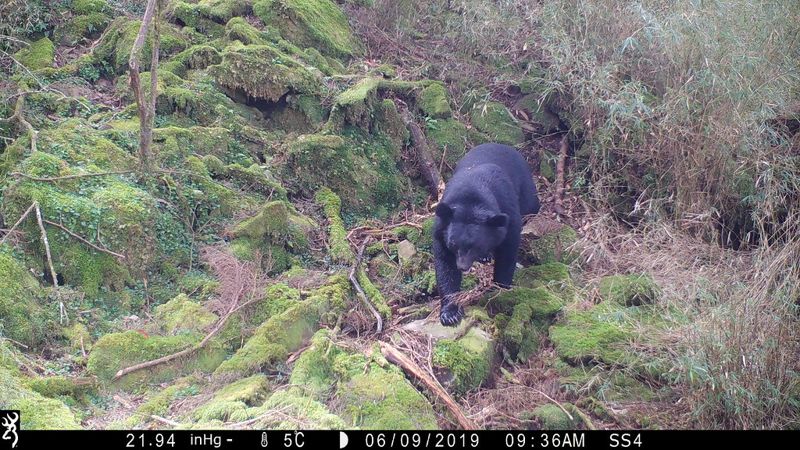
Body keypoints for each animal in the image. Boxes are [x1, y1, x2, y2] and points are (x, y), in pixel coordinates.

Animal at [433, 143, 540, 326]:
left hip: (527, 192)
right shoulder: (442, 230)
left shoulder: (508, 213)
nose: (462, 266)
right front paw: (450, 313)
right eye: (453, 244)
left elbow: (507, 253)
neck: (472, 199)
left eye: (475, 246)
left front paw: (499, 290)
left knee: (533, 205)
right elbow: (445, 265)